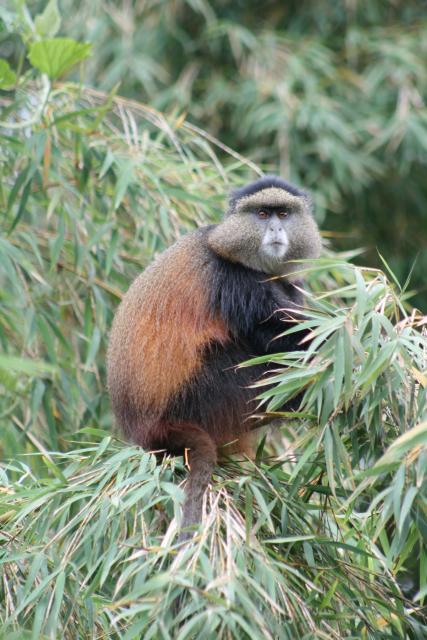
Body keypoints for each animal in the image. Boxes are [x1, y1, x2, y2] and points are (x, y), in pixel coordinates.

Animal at [107, 175, 321, 541]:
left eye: (283, 213)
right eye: (262, 214)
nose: (275, 229)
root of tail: (151, 432)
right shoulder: (236, 281)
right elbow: (288, 338)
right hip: (209, 395)